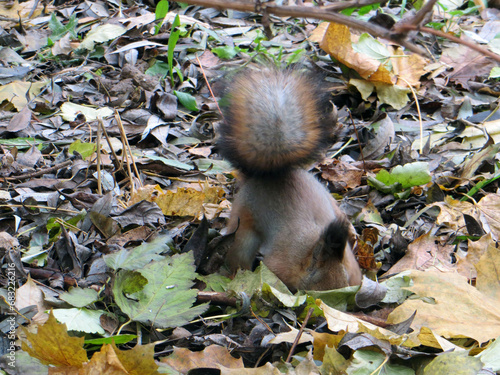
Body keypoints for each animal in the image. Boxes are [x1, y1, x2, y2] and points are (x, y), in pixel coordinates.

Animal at [217, 67, 362, 290]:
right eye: (316, 277)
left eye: (351, 279)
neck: (308, 249)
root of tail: (268, 175)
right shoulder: (280, 262)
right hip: (243, 224)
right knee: (239, 254)